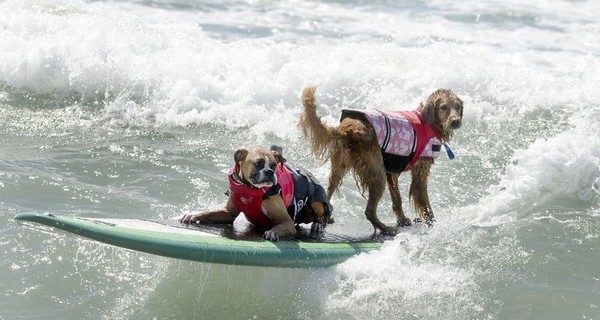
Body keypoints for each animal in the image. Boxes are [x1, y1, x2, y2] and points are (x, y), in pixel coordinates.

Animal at [180, 145, 336, 240]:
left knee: (323, 215)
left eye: (274, 165)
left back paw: (318, 224)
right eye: (258, 163)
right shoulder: (228, 214)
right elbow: (209, 213)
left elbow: (278, 226)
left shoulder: (287, 222)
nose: (269, 172)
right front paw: (193, 214)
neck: (250, 189)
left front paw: (272, 232)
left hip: (316, 200)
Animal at [300, 86, 464, 234]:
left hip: (340, 168)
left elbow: (397, 198)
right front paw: (433, 224)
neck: (428, 122)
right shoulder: (419, 173)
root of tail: (347, 129)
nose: (456, 121)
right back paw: (385, 228)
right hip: (376, 172)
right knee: (369, 211)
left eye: (458, 106)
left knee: (328, 190)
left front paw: (402, 219)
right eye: (443, 107)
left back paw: (326, 218)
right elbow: (425, 203)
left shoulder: (391, 173)